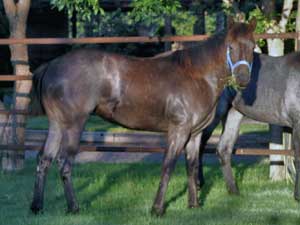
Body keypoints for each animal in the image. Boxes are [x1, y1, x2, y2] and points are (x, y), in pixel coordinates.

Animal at [29, 18, 255, 216]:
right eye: (230, 47)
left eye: (252, 46)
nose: (243, 79)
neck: (197, 75)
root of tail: (51, 66)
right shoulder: (178, 130)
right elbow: (168, 166)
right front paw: (157, 209)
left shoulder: (195, 134)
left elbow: (191, 166)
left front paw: (194, 205)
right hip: (74, 125)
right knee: (64, 162)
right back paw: (73, 207)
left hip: (57, 125)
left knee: (44, 159)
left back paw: (37, 207)